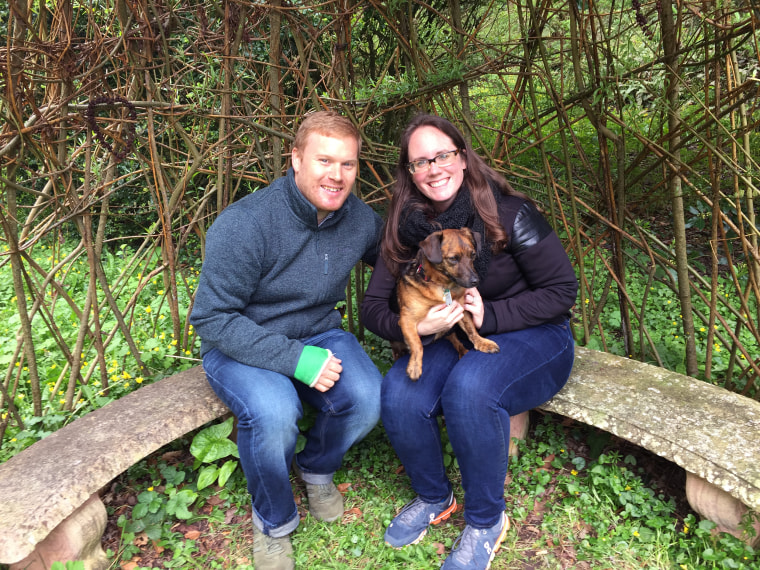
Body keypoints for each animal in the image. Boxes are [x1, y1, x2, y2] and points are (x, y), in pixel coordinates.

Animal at [398, 225, 498, 378]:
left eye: (473, 255)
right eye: (453, 258)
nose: (476, 281)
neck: (445, 286)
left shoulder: (461, 310)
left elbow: (471, 330)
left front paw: (482, 342)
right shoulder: (407, 318)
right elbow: (417, 343)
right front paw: (414, 366)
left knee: (455, 340)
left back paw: (463, 351)